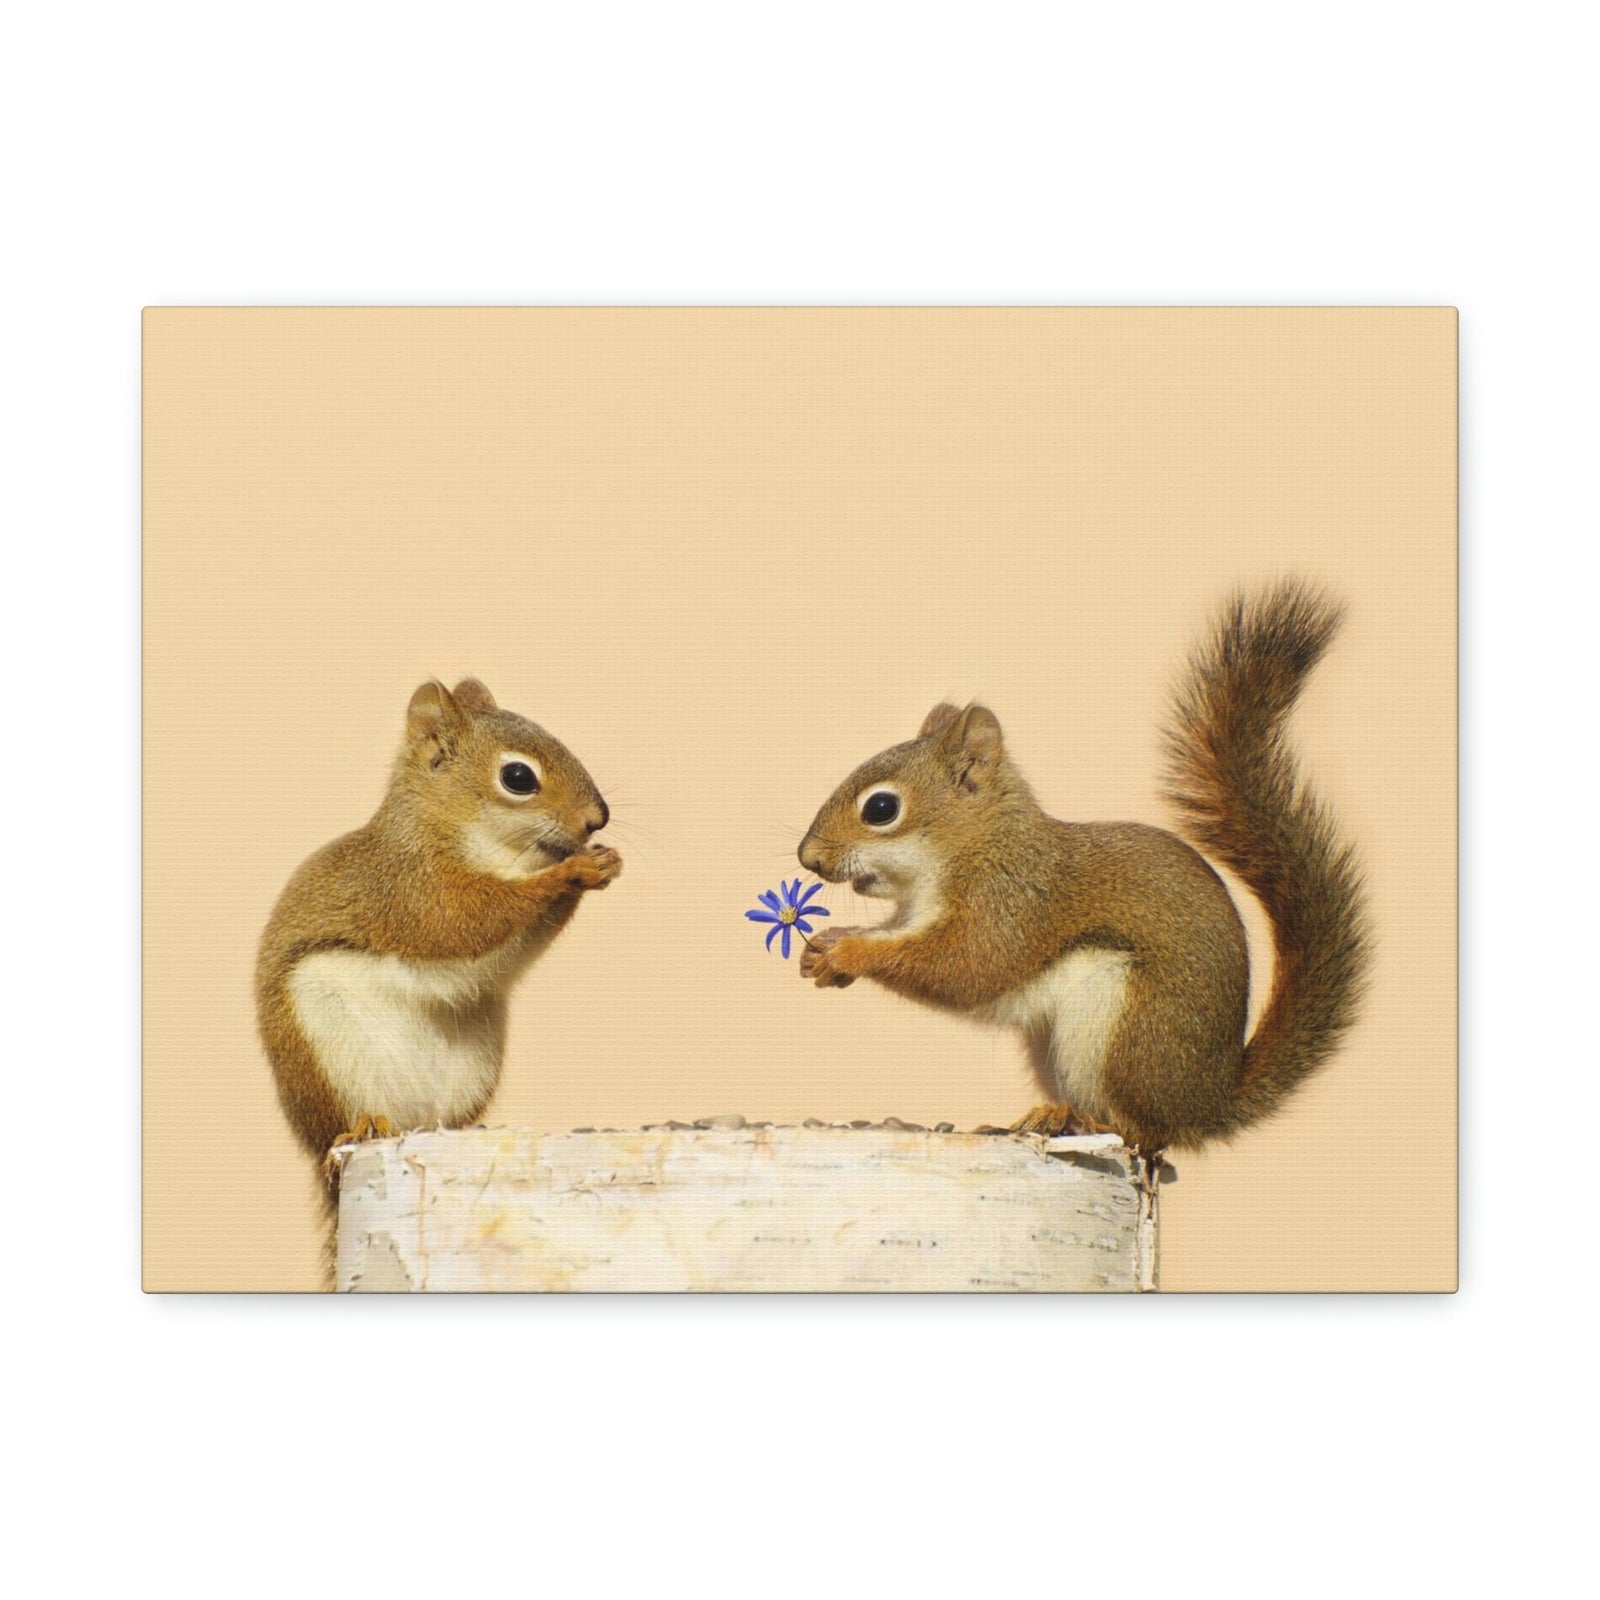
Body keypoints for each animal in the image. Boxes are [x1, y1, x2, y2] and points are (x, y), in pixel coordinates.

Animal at [256, 677, 620, 1181]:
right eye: (518, 778)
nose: (597, 819)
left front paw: (603, 863)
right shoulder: (410, 885)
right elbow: (463, 921)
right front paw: (571, 871)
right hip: (328, 1052)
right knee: (344, 1123)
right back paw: (364, 1126)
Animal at [796, 581, 1370, 1153]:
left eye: (881, 808)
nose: (809, 859)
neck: (974, 847)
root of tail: (1207, 1103)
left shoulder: (1010, 904)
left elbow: (965, 966)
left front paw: (847, 952)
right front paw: (823, 951)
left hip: (1124, 1029)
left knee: (1143, 1132)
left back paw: (1085, 1122)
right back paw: (1049, 1115)